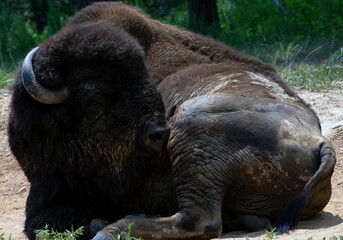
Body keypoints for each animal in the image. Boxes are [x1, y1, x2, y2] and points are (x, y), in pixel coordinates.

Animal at [7, 1, 336, 240]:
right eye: (93, 102)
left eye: (148, 84)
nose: (158, 133)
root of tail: (320, 142)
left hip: (192, 126)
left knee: (200, 221)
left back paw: (110, 229)